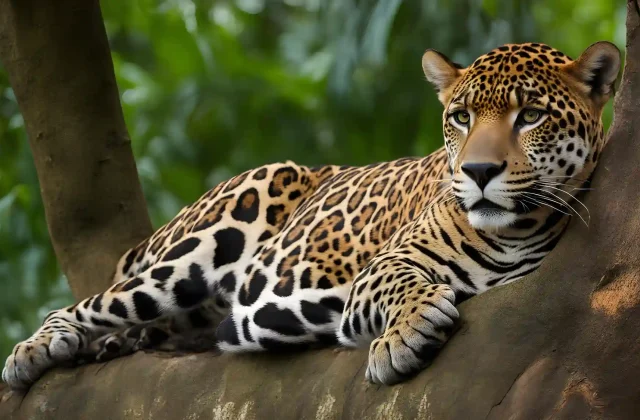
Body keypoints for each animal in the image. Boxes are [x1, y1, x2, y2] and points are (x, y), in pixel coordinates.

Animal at [3, 40, 620, 389]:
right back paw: (35, 351)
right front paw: (404, 336)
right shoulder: (382, 266)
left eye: (531, 115)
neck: (514, 231)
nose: (479, 171)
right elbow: (402, 284)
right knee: (92, 303)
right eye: (461, 117)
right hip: (218, 230)